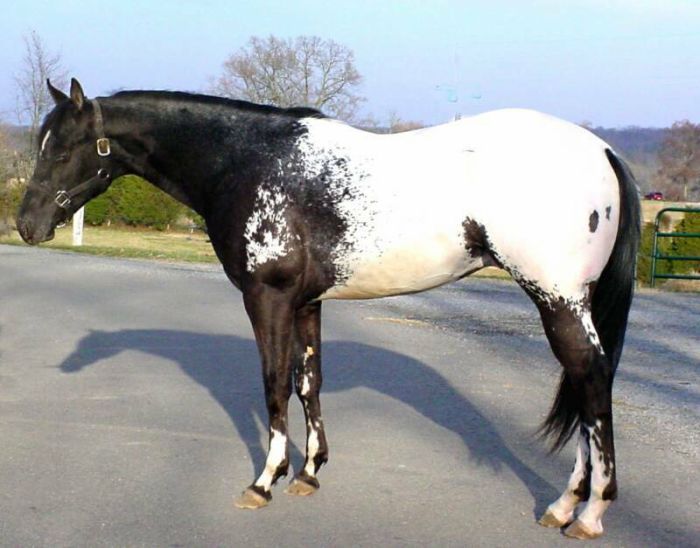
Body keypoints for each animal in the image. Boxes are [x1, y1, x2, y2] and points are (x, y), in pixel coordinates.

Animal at [17, 79, 640, 540]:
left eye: (64, 149)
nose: (26, 225)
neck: (247, 161)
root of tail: (603, 151)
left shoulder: (266, 297)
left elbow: (273, 383)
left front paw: (265, 481)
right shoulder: (307, 303)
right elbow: (307, 381)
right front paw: (309, 473)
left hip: (555, 296)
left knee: (591, 378)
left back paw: (588, 512)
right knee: (584, 383)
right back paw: (565, 507)